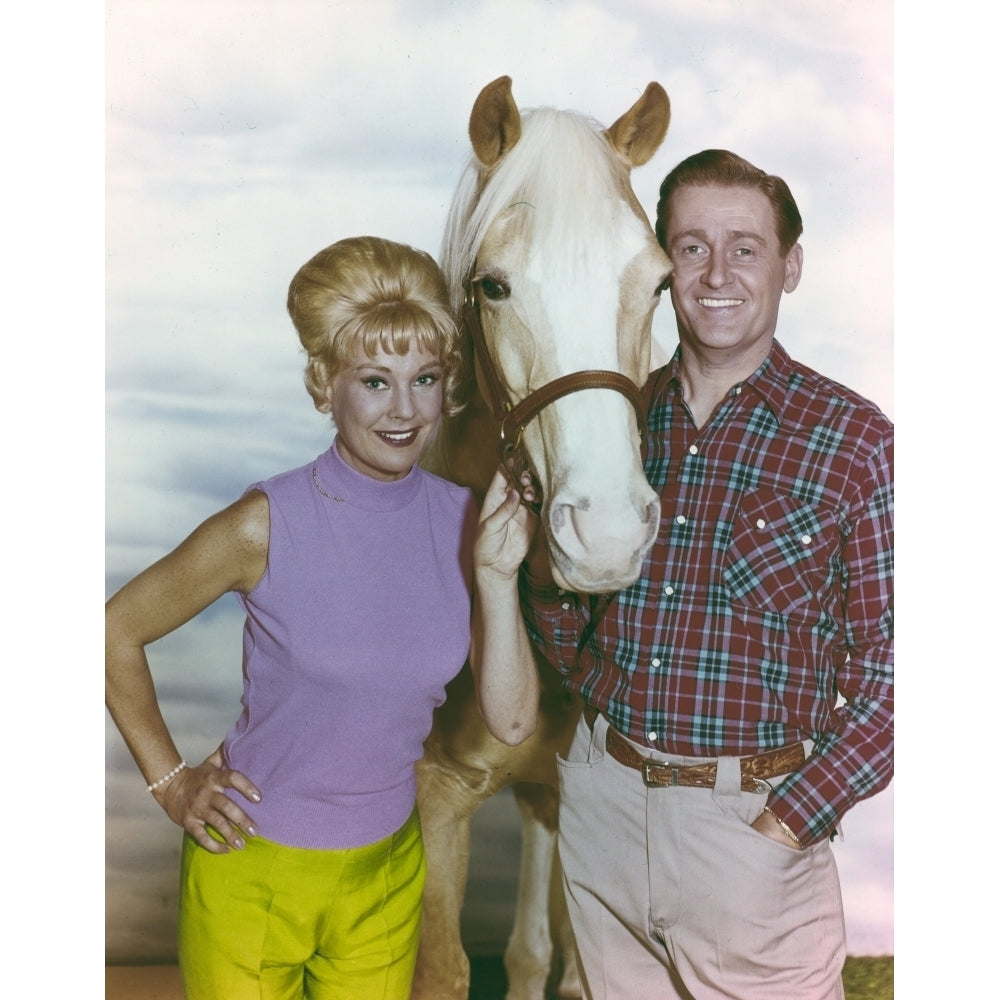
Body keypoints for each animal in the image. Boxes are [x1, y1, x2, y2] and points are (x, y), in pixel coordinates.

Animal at [414, 74, 672, 996]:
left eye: (662, 283)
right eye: (493, 286)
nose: (606, 536)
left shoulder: (569, 799)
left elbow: (553, 963)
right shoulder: (435, 795)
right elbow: (442, 967)